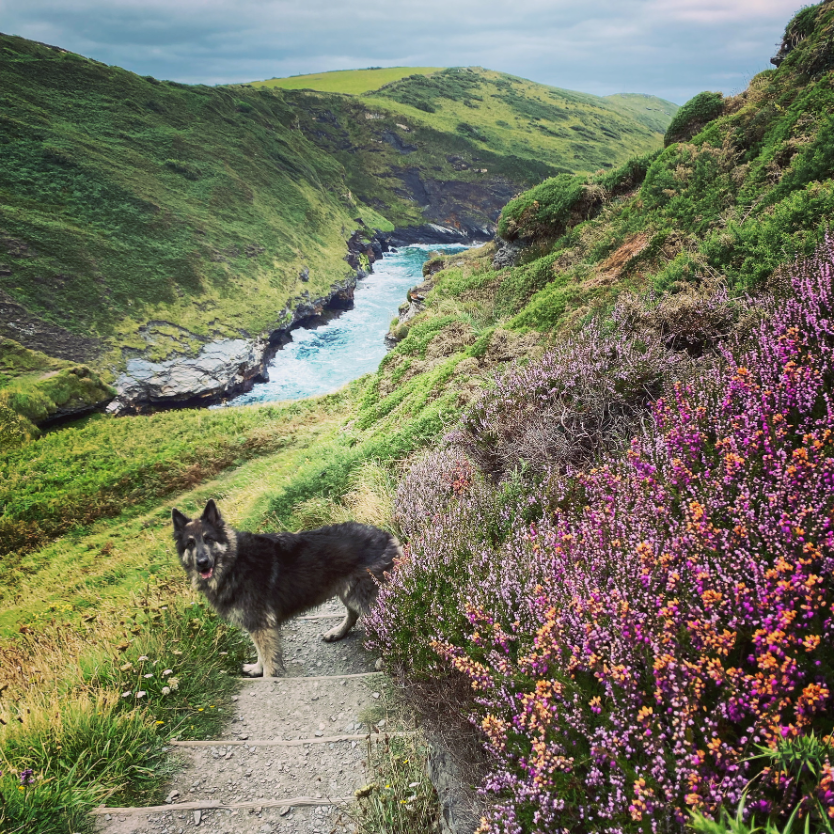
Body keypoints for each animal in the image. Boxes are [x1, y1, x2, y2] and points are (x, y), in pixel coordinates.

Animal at [171, 500, 398, 676]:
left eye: (208, 539)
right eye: (190, 544)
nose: (202, 563)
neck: (233, 562)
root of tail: (386, 536)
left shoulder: (261, 624)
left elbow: (269, 659)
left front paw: (268, 678)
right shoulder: (257, 625)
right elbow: (261, 652)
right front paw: (257, 668)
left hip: (364, 599)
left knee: (388, 625)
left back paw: (389, 659)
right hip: (348, 592)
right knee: (353, 614)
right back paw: (338, 632)